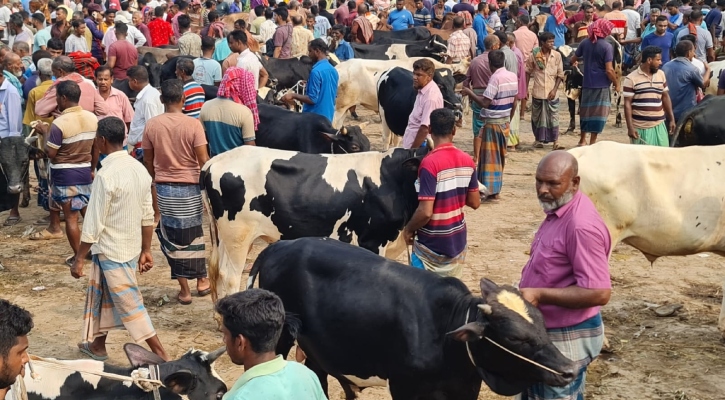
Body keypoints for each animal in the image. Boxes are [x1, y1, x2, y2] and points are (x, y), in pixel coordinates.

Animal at [201, 145, 430, 298]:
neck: (395, 180)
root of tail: (215, 160)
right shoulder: (372, 240)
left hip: (225, 237)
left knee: (216, 269)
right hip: (237, 236)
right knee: (229, 275)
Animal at [249, 238, 576, 400]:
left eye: (543, 323)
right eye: (514, 338)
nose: (570, 370)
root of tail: (279, 245)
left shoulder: (465, 391)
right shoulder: (404, 387)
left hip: (318, 349)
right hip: (280, 338)